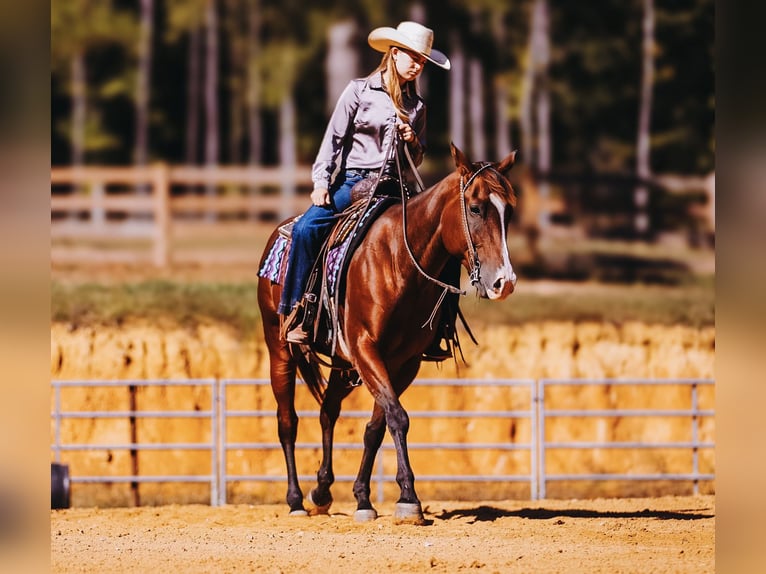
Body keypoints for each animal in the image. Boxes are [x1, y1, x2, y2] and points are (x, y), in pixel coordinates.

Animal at [256, 143, 518, 524]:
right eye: (475, 207)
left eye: (509, 211)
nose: (504, 283)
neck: (398, 261)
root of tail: (280, 231)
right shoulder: (366, 348)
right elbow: (398, 417)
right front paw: (408, 497)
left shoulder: (403, 362)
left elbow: (378, 427)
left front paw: (364, 498)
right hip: (280, 350)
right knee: (287, 421)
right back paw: (295, 501)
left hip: (341, 363)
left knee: (328, 412)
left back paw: (322, 491)